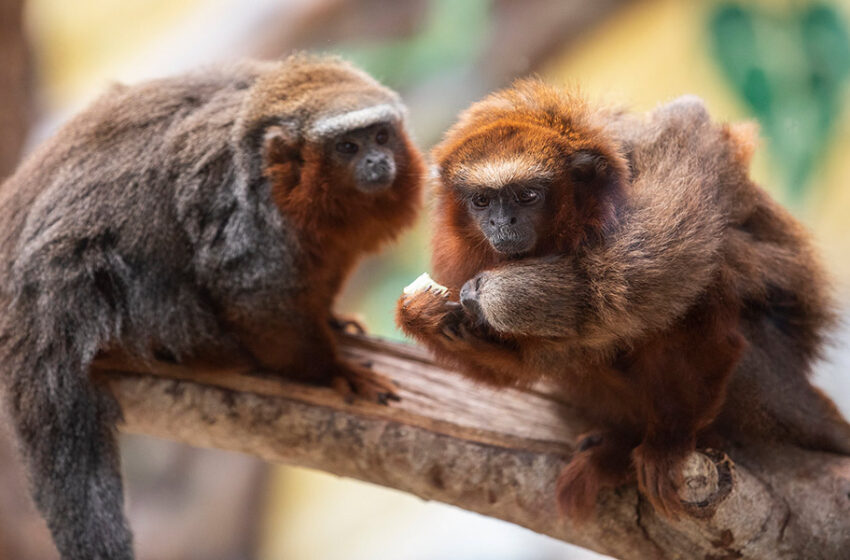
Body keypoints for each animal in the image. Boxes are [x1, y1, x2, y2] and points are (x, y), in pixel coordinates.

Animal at [398, 82, 848, 520]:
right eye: (482, 201)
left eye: (527, 196)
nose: (500, 223)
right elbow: (527, 364)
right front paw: (429, 317)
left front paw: (669, 443)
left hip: (771, 382)